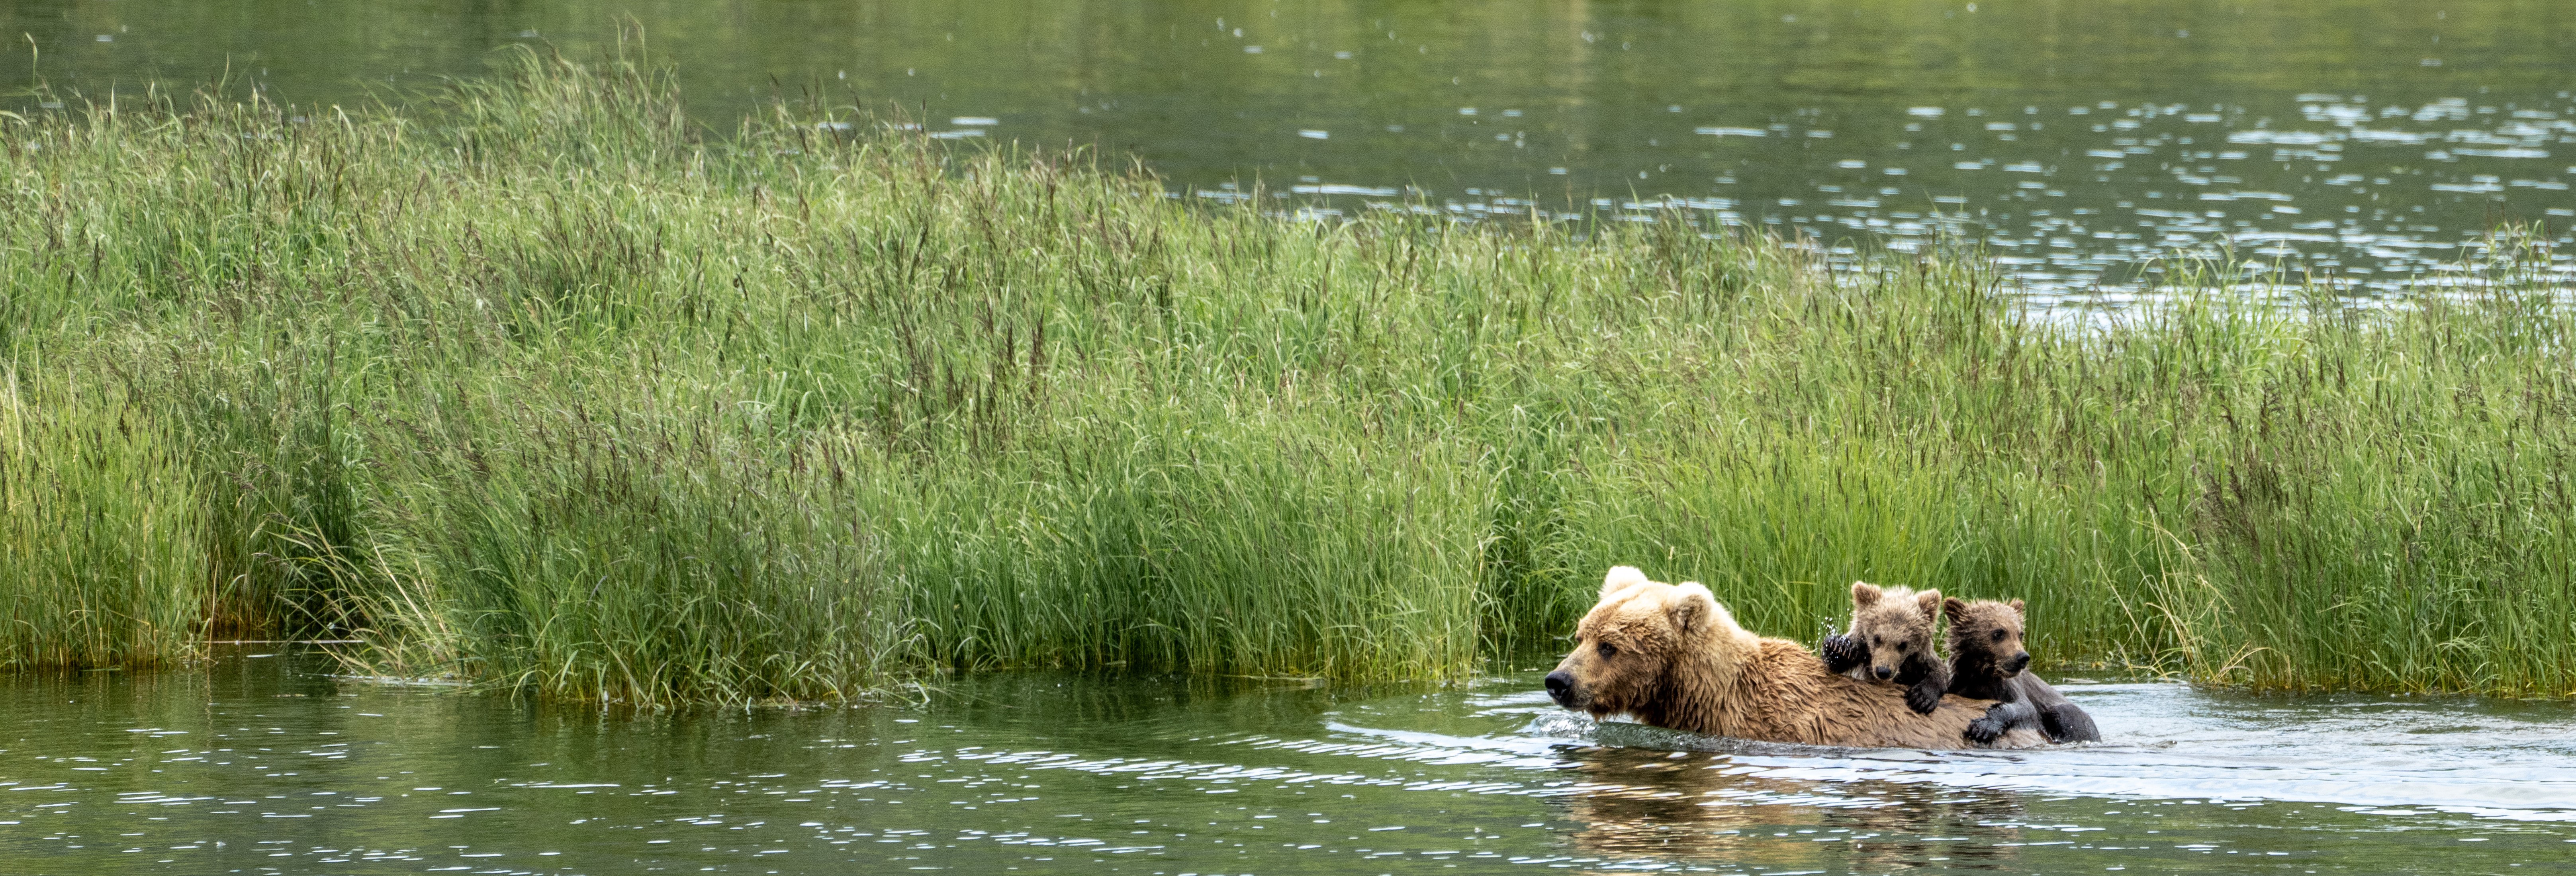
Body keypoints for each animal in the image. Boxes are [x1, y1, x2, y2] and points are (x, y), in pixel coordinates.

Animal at [1816, 581, 1951, 716]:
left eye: (1903, 644)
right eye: (1877, 638)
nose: (1883, 671)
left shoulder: (1919, 660)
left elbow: (1940, 671)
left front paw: (1922, 698)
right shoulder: (1862, 652)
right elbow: (1838, 663)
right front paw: (1839, 647)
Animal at [1942, 597, 2101, 744]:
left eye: (2020, 634)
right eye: (1998, 633)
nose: (2022, 657)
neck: (1980, 673)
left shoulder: (2008, 687)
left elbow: (2025, 708)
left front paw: (1983, 727)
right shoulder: (1960, 684)